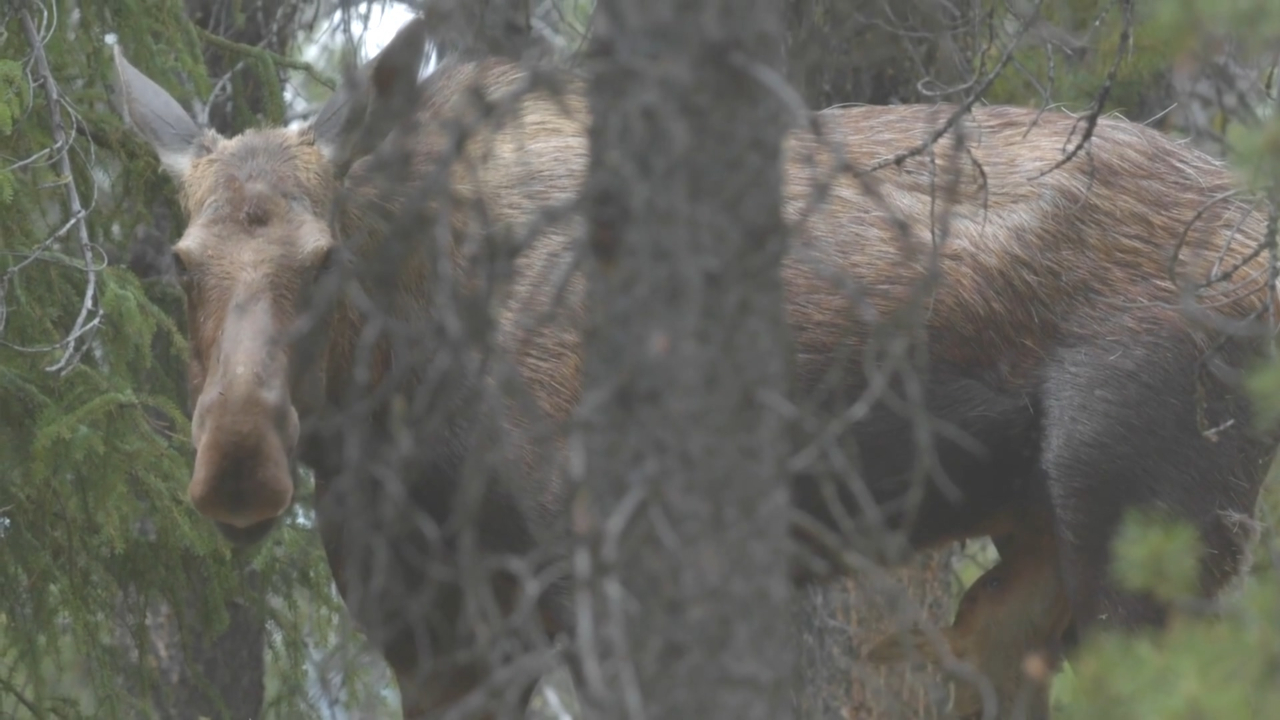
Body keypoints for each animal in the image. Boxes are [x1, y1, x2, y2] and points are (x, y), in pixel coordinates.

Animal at [112, 12, 1280, 717]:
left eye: (324, 260)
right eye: (179, 262)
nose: (238, 463)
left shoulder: (604, 576)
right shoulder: (435, 627)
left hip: (1159, 525)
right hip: (1028, 565)